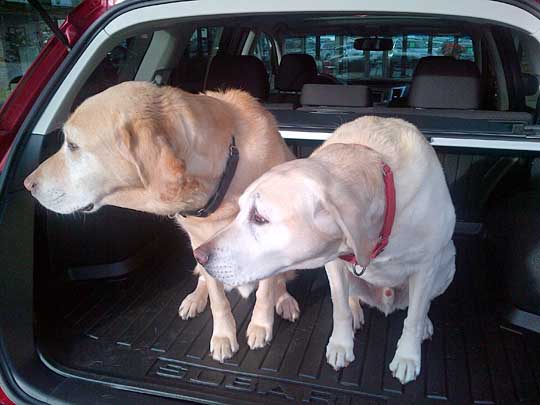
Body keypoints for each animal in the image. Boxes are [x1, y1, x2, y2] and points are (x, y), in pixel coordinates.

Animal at [24, 80, 300, 362]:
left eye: (73, 145)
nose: (27, 184)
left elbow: (265, 292)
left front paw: (260, 326)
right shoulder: (202, 247)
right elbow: (218, 301)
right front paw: (223, 336)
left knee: (279, 281)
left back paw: (284, 300)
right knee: (204, 280)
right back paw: (195, 299)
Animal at [194, 116, 456, 382]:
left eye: (259, 217)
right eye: (239, 210)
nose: (199, 256)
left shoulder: (426, 267)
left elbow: (413, 317)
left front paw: (408, 356)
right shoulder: (335, 264)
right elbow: (340, 307)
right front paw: (341, 345)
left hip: (447, 266)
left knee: (421, 304)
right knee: (352, 296)